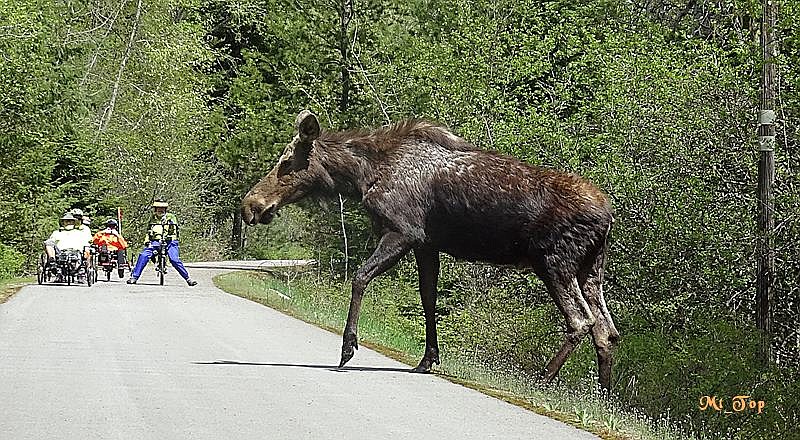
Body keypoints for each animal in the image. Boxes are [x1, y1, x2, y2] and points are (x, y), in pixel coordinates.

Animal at [241, 111, 620, 390]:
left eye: (287, 162)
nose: (251, 206)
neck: (363, 176)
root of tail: (607, 217)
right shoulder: (427, 245)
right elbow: (428, 299)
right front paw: (427, 359)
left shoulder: (403, 232)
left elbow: (360, 277)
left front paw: (348, 347)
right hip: (590, 269)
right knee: (607, 331)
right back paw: (602, 397)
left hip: (555, 262)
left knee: (582, 320)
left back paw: (542, 379)